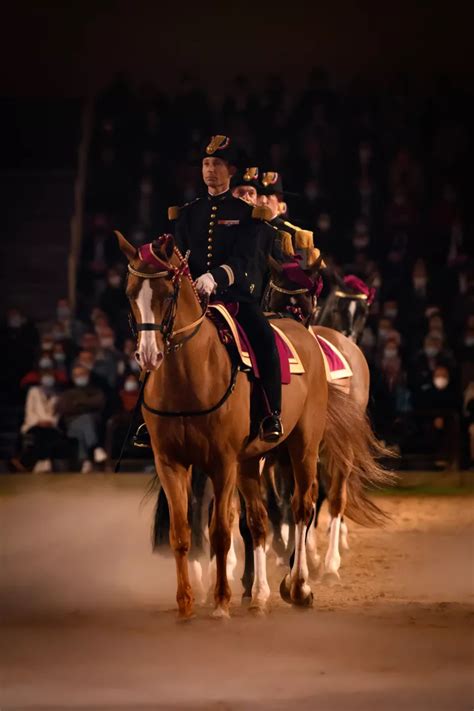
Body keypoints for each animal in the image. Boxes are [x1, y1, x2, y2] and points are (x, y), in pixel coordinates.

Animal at [115, 232, 330, 616]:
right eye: (129, 293)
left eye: (167, 293)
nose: (149, 354)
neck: (188, 374)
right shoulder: (171, 463)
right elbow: (183, 531)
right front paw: (186, 602)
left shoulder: (222, 462)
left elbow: (221, 532)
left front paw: (220, 602)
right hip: (250, 461)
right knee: (258, 521)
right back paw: (259, 594)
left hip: (302, 447)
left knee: (301, 508)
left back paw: (299, 586)